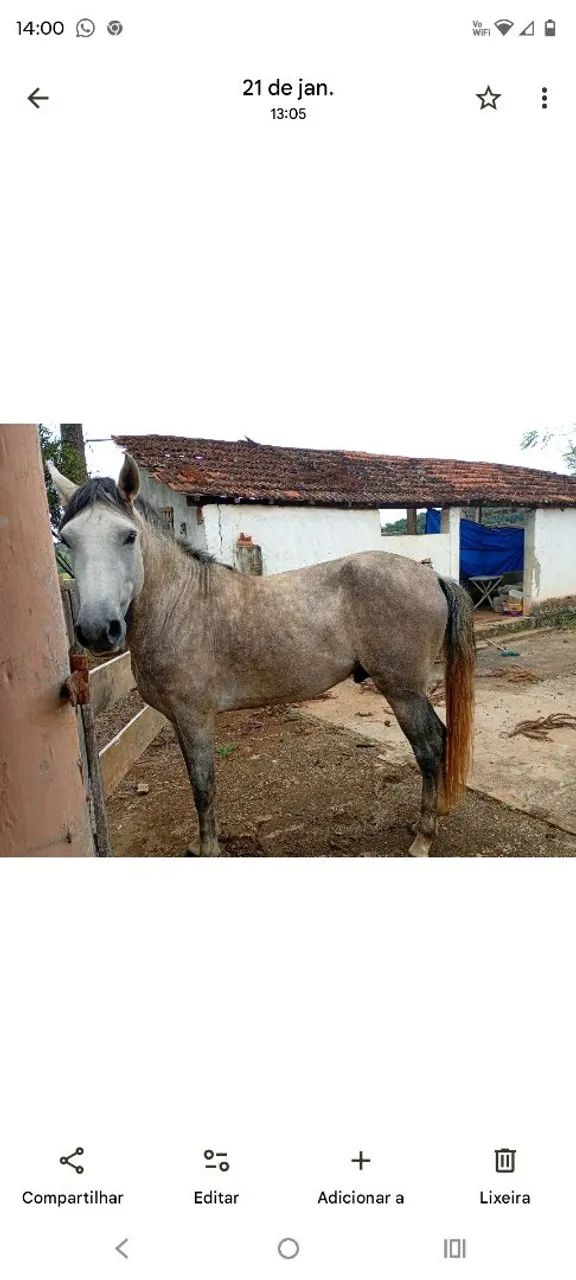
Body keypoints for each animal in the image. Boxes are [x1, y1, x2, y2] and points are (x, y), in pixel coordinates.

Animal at [47, 454, 475, 857]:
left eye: (129, 536)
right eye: (67, 539)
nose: (97, 630)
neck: (179, 605)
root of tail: (432, 575)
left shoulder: (195, 718)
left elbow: (203, 787)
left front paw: (209, 849)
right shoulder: (179, 721)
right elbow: (196, 781)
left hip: (403, 692)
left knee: (430, 747)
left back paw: (422, 838)